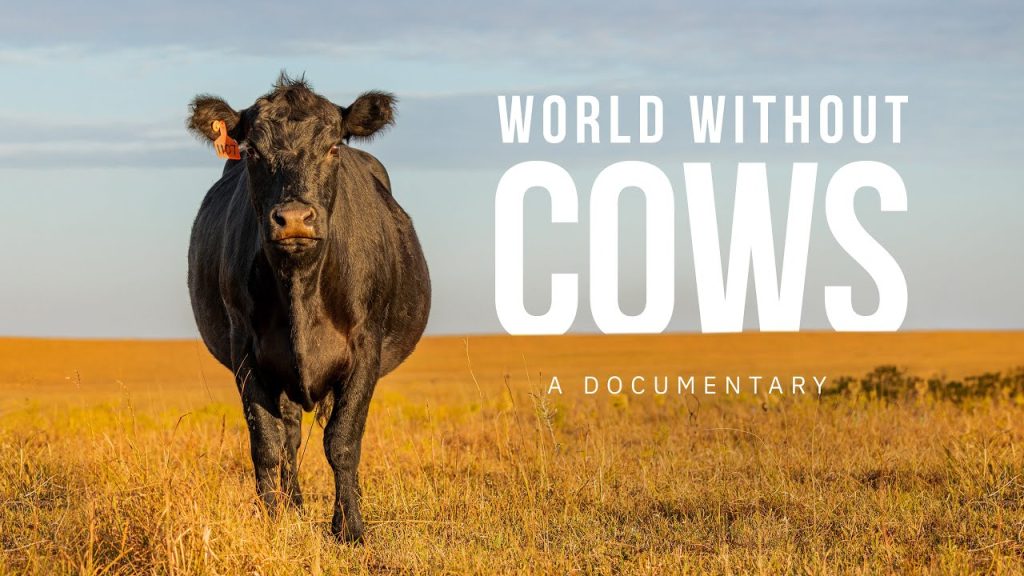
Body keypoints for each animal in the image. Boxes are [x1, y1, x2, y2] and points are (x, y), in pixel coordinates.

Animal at [185, 74, 430, 542]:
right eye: (252, 151)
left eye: (333, 147)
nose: (295, 218)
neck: (301, 287)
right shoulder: (245, 350)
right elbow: (267, 442)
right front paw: (272, 518)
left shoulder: (365, 348)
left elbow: (343, 440)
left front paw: (350, 528)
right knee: (290, 436)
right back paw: (293, 506)